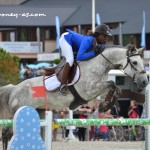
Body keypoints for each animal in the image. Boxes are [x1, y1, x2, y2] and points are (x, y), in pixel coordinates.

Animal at [0, 44, 148, 116]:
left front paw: (105, 104)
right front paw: (105, 106)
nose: (145, 82)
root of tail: (14, 89)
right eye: (135, 62)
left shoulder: (97, 88)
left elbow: (114, 87)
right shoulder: (89, 90)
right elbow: (112, 83)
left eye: (142, 62)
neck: (99, 65)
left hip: (39, 110)